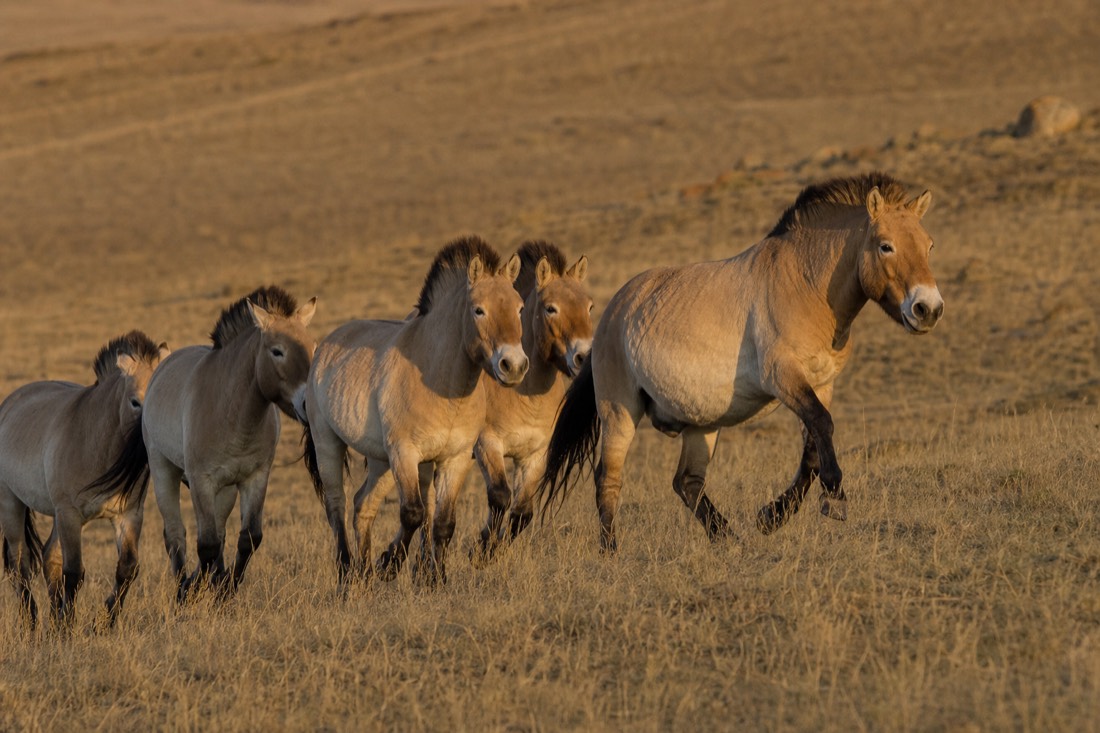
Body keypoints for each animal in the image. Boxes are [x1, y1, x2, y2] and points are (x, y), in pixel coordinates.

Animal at [0, 331, 168, 628]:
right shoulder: (70, 515)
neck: (95, 442)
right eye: (135, 402)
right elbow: (74, 573)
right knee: (19, 563)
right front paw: (69, 627)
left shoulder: (127, 516)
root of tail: (11, 401)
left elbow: (127, 568)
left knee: (48, 557)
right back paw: (31, 623)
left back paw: (52, 621)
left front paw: (103, 622)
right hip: (12, 503)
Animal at [98, 286, 317, 600]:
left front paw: (226, 591)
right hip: (165, 473)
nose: (308, 402)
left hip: (224, 490)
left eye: (313, 347)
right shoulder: (202, 480)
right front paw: (195, 590)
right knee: (176, 535)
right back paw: (182, 587)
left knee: (219, 532)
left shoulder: (254, 478)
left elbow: (248, 538)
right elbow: (207, 545)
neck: (232, 412)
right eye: (277, 351)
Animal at [302, 235, 527, 586]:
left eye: (519, 308)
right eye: (479, 310)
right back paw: (347, 572)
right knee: (337, 506)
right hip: (330, 444)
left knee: (362, 505)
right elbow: (413, 513)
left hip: (380, 461)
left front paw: (437, 579)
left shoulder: (455, 459)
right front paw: (391, 563)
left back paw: (364, 573)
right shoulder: (405, 454)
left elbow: (444, 523)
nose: (513, 365)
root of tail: (327, 344)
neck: (441, 383)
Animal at [471, 240, 593, 558]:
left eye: (589, 307)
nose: (584, 357)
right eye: (551, 308)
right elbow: (500, 496)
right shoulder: (488, 445)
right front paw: (481, 550)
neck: (525, 396)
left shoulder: (535, 455)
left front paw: (494, 549)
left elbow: (522, 512)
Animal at [537, 172, 944, 551]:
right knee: (608, 477)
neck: (806, 285)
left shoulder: (821, 384)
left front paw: (772, 517)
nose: (928, 309)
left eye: (929, 245)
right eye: (886, 246)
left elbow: (814, 448)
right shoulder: (783, 378)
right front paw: (835, 499)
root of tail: (610, 315)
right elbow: (822, 427)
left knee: (687, 482)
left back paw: (728, 539)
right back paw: (611, 551)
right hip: (620, 412)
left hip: (702, 423)